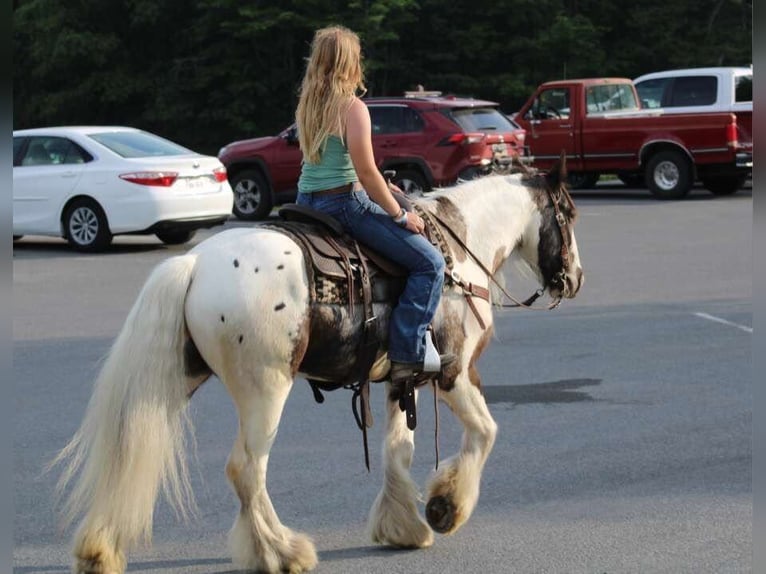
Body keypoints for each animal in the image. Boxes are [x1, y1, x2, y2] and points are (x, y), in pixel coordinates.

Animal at [52, 158, 584, 574]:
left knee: (130, 451)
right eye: (569, 214)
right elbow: (486, 432)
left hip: (172, 382)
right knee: (246, 469)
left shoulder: (401, 379)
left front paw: (403, 527)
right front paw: (445, 507)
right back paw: (281, 551)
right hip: (267, 389)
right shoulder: (453, 374)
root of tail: (195, 263)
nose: (575, 278)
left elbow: (398, 450)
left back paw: (100, 550)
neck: (456, 255)